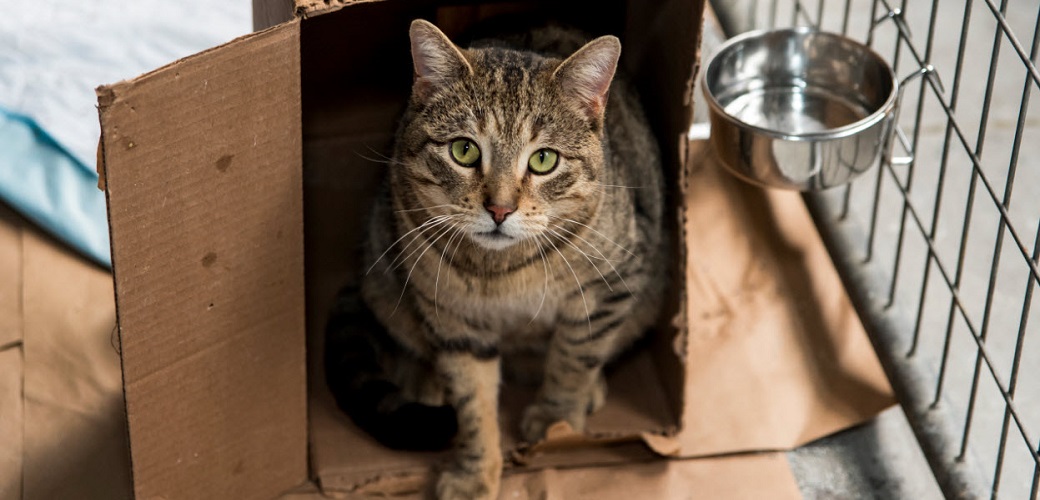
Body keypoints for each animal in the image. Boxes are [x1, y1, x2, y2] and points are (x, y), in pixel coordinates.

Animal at [322, 17, 665, 496]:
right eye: (464, 150)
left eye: (543, 160)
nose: (500, 209)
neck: (503, 272)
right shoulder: (453, 317)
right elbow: (472, 402)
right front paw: (475, 472)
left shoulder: (611, 284)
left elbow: (575, 356)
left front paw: (558, 419)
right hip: (382, 273)